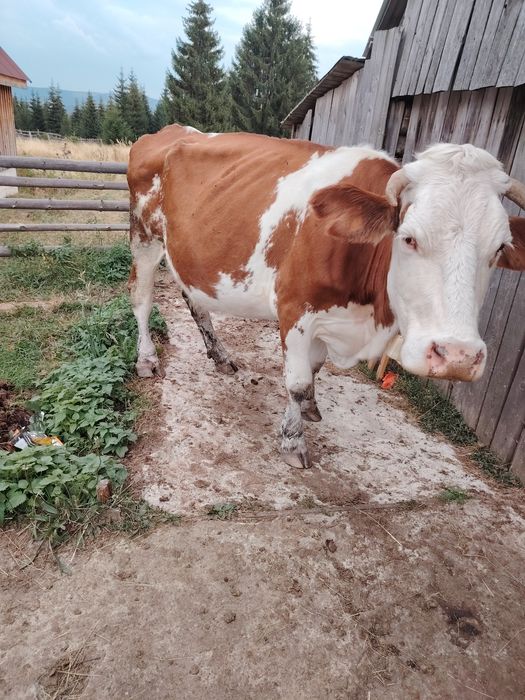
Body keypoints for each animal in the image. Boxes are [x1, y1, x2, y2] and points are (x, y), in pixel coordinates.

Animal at [127, 125, 525, 468]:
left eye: (499, 248)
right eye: (409, 237)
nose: (458, 357)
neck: (365, 315)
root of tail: (171, 131)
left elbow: (313, 370)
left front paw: (305, 412)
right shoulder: (294, 310)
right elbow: (297, 381)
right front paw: (293, 442)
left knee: (194, 300)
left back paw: (220, 356)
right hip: (143, 235)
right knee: (141, 298)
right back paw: (147, 360)